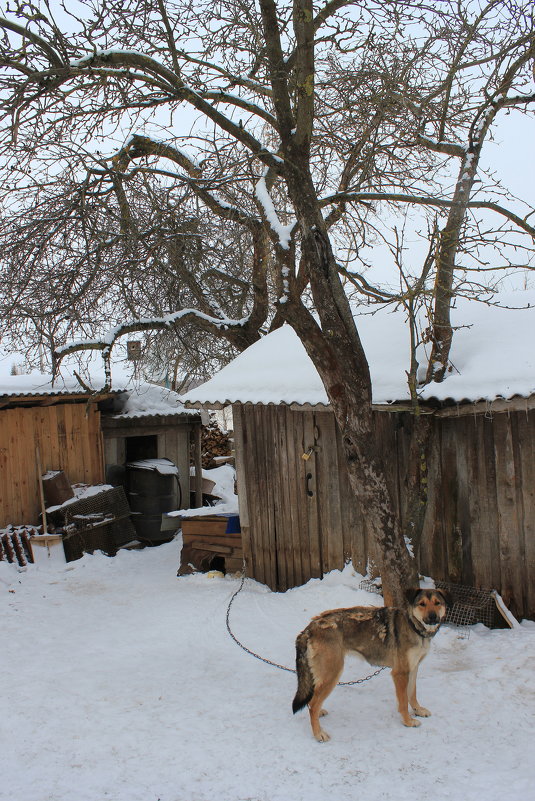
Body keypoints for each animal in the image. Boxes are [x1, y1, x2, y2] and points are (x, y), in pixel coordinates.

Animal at [294, 584, 452, 740]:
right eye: (422, 604)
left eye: (437, 603)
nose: (433, 617)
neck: (414, 626)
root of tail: (309, 628)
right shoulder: (400, 673)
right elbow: (403, 702)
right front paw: (408, 721)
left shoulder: (413, 668)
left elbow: (412, 694)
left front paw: (418, 710)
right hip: (332, 673)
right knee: (313, 704)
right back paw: (318, 733)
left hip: (323, 674)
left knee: (312, 701)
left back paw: (319, 714)